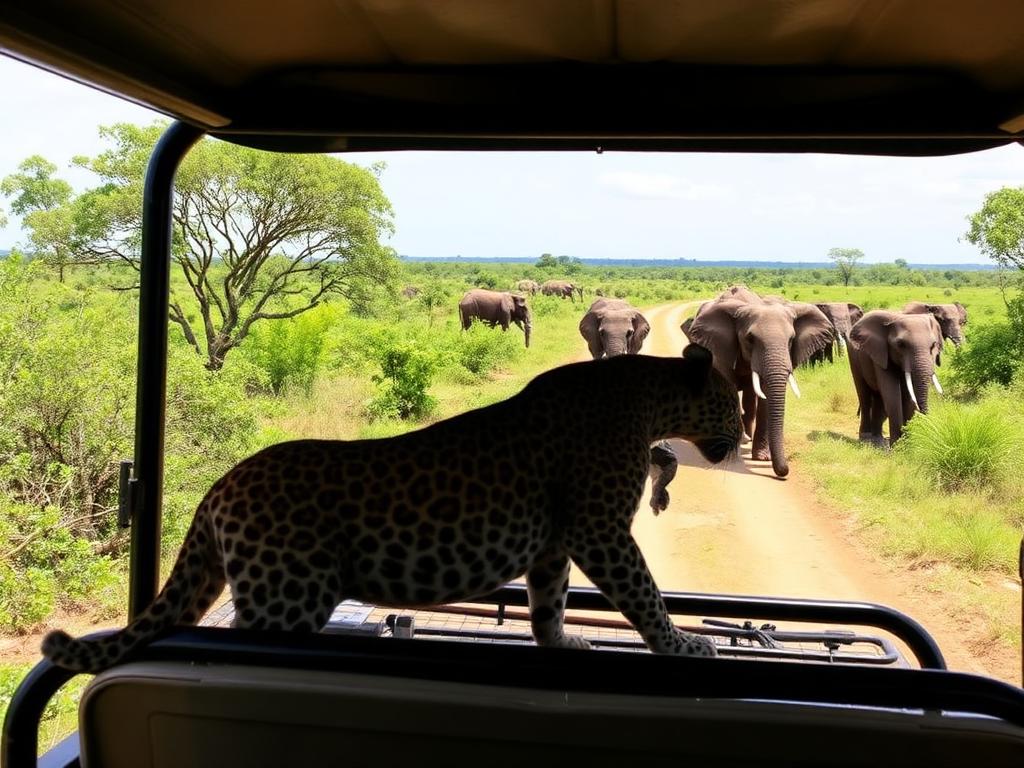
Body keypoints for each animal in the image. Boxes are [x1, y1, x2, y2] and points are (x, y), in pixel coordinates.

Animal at [686, 292, 832, 477]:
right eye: (750, 339)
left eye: (791, 340)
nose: (784, 471)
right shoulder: (720, 349)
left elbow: (765, 399)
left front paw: (762, 458)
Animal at [848, 310, 944, 446]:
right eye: (900, 344)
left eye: (933, 346)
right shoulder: (881, 353)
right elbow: (892, 395)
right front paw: (898, 446)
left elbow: (907, 397)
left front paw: (907, 444)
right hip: (854, 358)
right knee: (864, 395)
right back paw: (866, 438)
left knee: (878, 398)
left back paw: (878, 439)